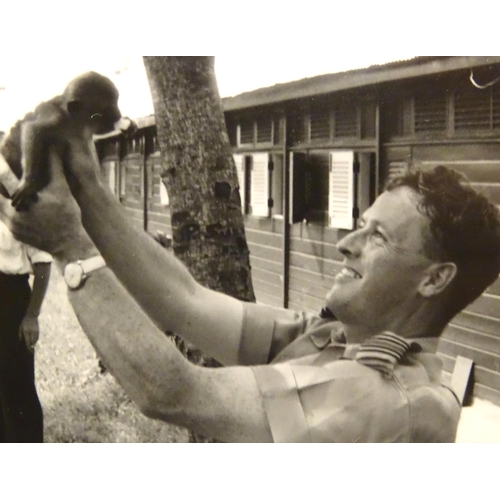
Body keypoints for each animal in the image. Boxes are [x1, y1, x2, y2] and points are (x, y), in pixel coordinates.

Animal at [0, 71, 131, 210]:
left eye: (116, 103)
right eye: (106, 111)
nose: (118, 115)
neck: (71, 120)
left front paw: (129, 125)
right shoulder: (55, 116)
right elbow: (34, 128)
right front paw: (28, 184)